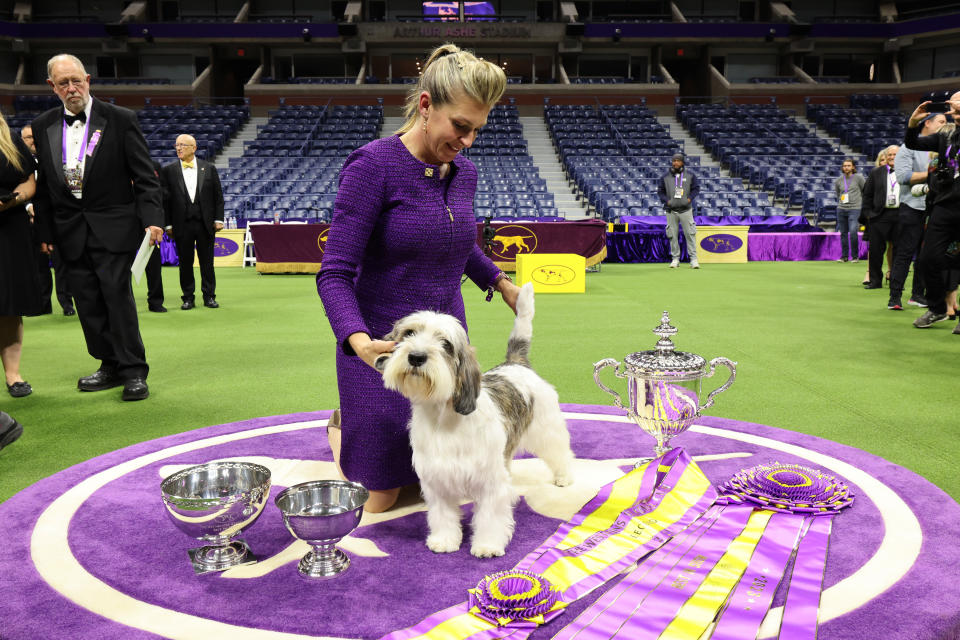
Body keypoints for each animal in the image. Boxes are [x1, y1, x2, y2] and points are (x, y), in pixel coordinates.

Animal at [374, 282, 568, 556]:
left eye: (445, 344)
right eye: (409, 333)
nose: (416, 357)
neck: (443, 418)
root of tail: (515, 363)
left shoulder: (489, 481)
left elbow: (490, 516)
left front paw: (487, 545)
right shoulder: (437, 481)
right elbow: (443, 516)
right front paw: (445, 540)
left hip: (547, 429)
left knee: (561, 452)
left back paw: (564, 476)